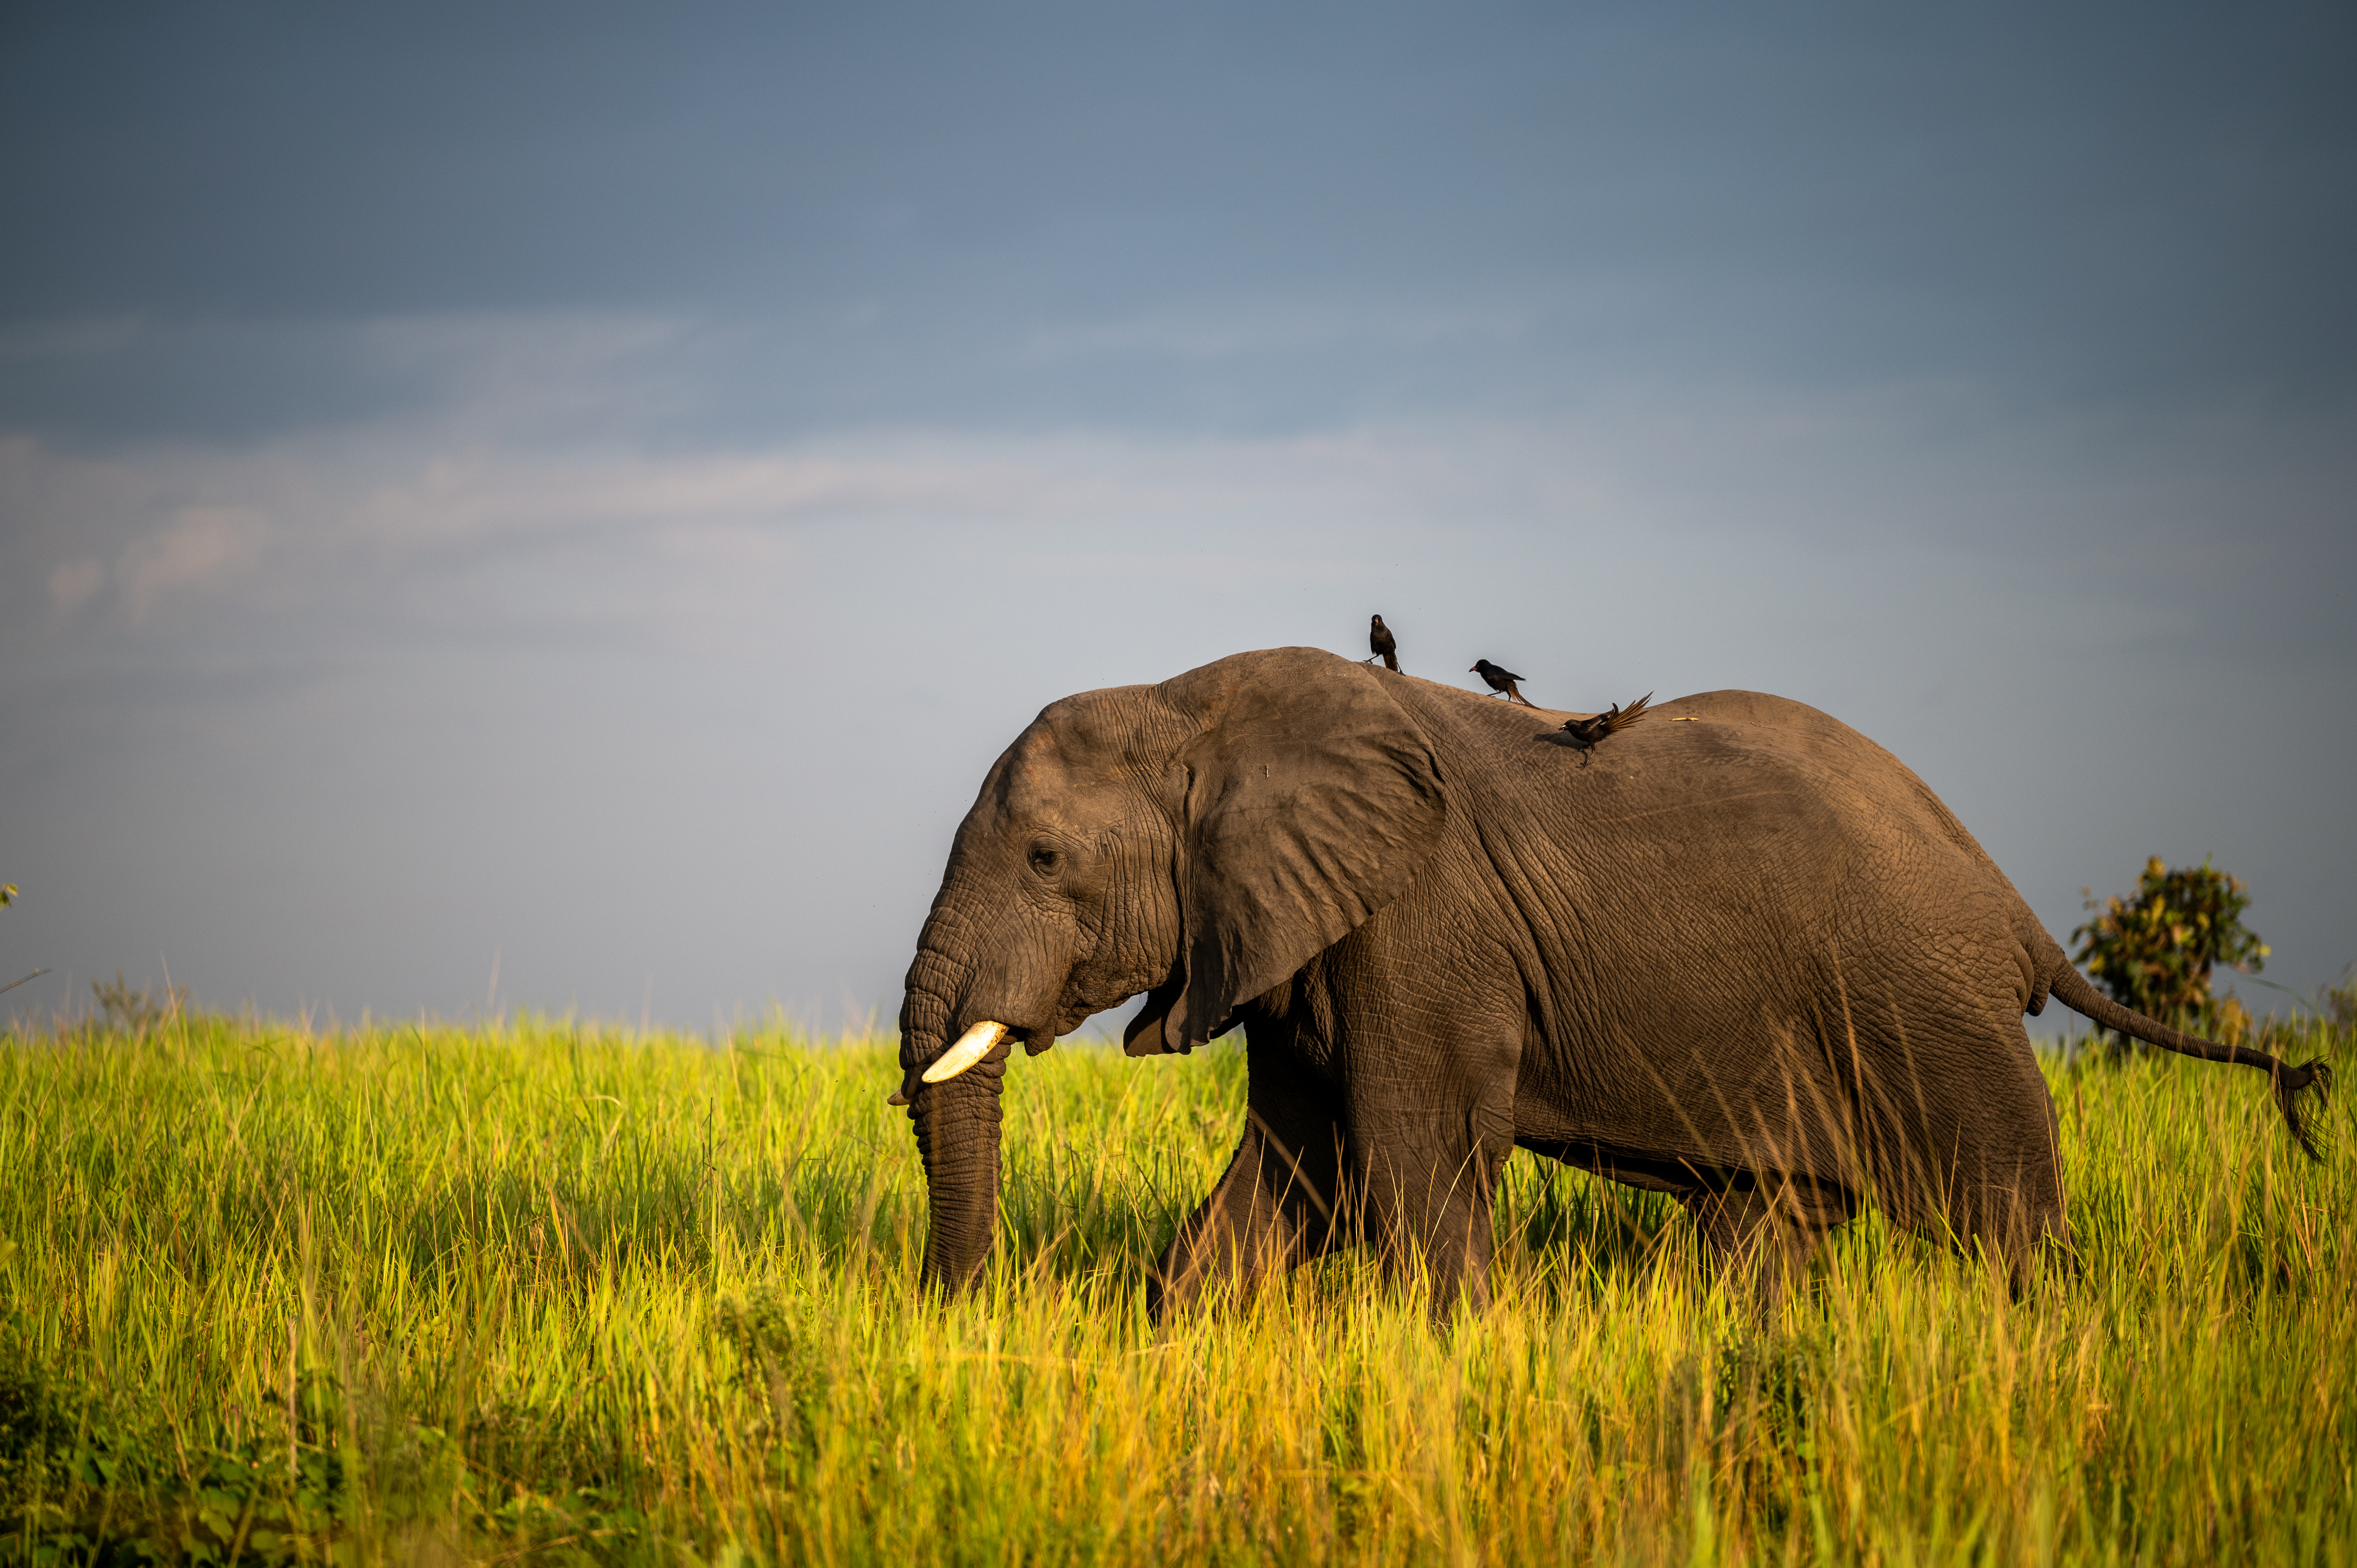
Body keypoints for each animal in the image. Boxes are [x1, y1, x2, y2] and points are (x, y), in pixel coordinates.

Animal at [891, 647, 2331, 1314]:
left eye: (1044, 858)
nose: (957, 1317)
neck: (1189, 697)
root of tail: (2015, 912)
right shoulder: (1293, 938)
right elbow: (1288, 1173)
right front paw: (1178, 1341)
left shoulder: (1421, 925)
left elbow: (1405, 1155)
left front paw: (1457, 1358)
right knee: (1768, 1219)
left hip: (1929, 1010)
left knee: (2008, 1220)